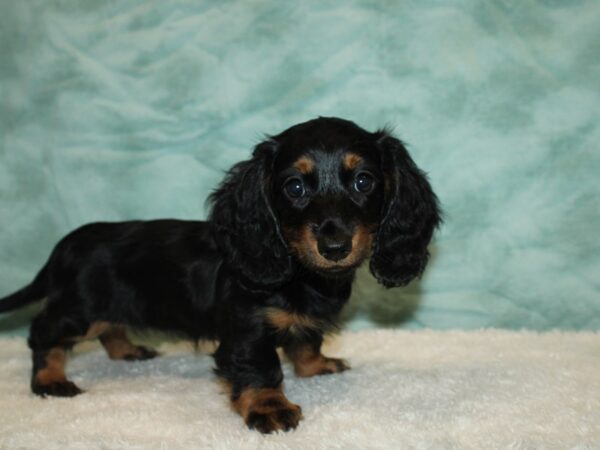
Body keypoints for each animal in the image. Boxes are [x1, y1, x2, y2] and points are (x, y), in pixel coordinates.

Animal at [0, 116, 440, 432]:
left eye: (364, 181)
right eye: (295, 187)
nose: (335, 248)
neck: (300, 274)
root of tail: (68, 244)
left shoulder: (304, 322)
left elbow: (305, 342)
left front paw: (316, 366)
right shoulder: (247, 330)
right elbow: (261, 368)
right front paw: (269, 408)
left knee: (109, 328)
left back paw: (128, 350)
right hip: (78, 310)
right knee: (43, 332)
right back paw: (49, 379)